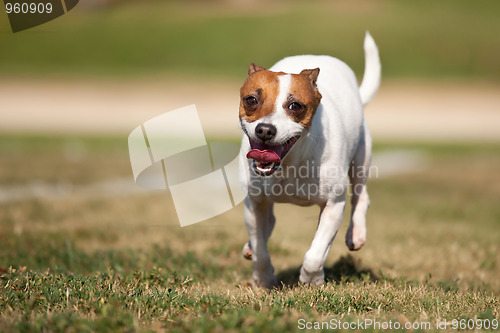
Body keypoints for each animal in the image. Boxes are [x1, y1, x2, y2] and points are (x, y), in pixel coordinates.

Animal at [237, 31, 378, 288]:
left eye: (296, 106)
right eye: (251, 100)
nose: (265, 130)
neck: (289, 164)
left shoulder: (333, 205)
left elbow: (315, 253)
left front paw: (311, 280)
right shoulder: (254, 204)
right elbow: (262, 250)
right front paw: (263, 278)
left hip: (361, 158)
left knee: (361, 195)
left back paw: (356, 233)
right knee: (269, 222)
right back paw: (250, 247)